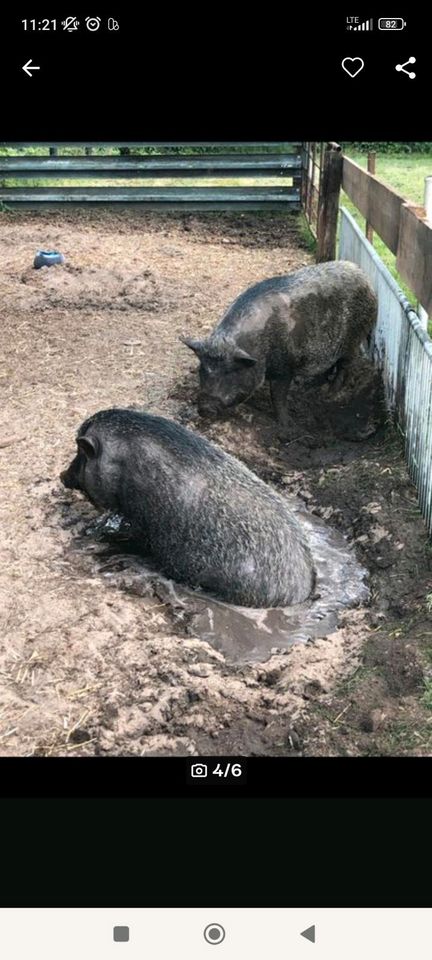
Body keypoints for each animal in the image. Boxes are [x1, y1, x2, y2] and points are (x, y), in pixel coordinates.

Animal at [181, 256, 376, 434]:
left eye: (231, 372)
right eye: (202, 369)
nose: (205, 408)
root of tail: (367, 281)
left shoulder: (285, 366)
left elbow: (278, 395)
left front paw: (286, 426)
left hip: (354, 338)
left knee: (346, 365)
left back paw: (330, 394)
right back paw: (312, 386)